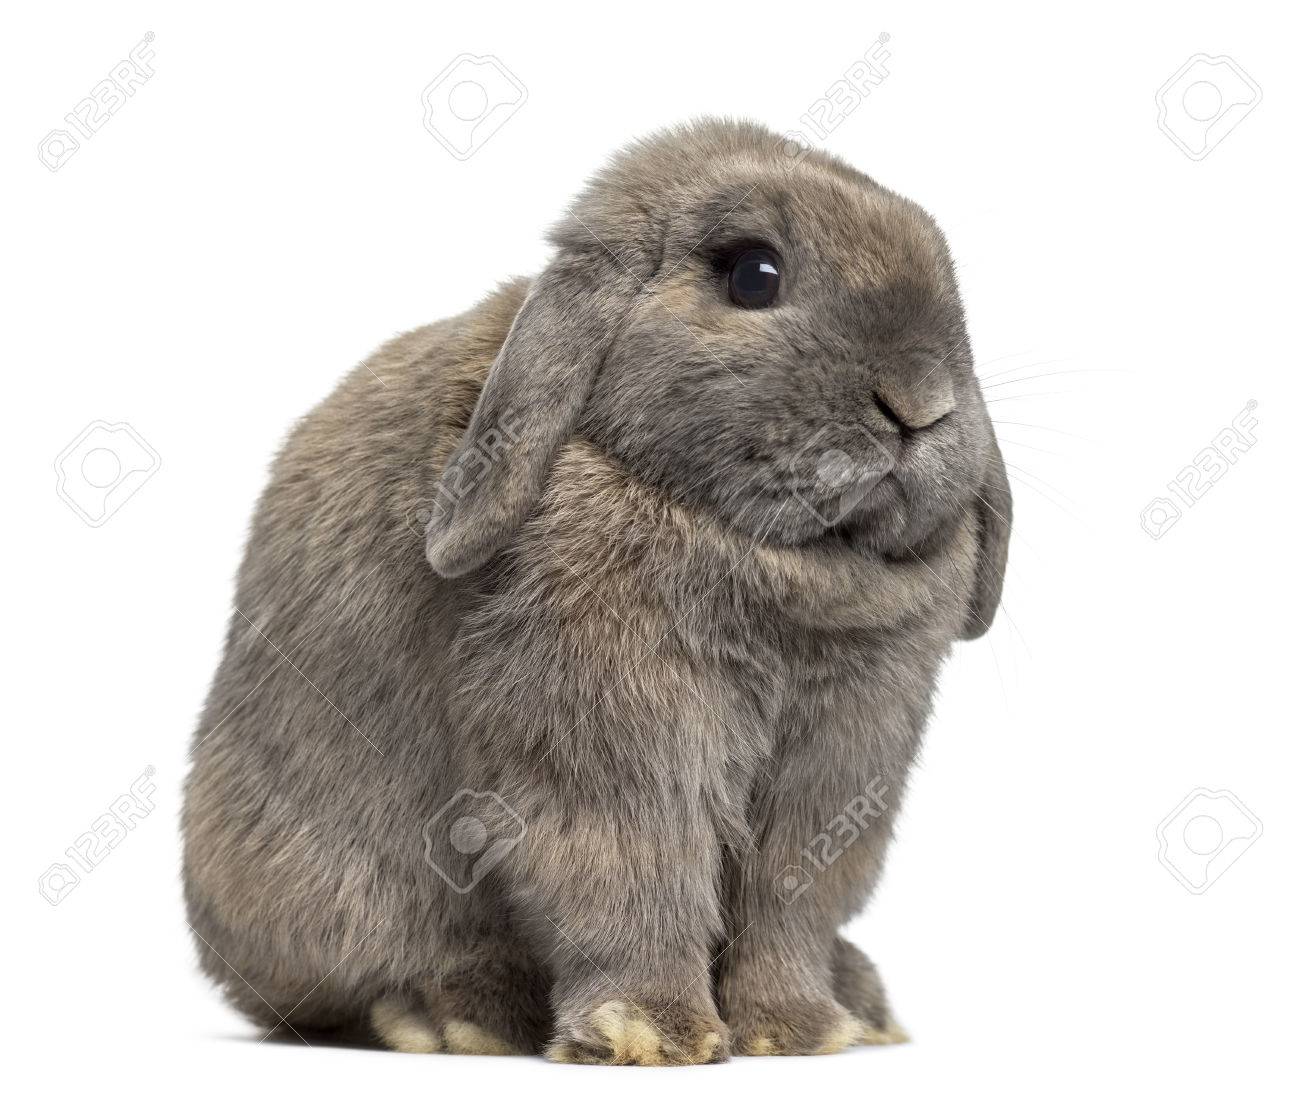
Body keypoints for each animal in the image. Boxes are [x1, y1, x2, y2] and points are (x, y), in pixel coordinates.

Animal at [183, 114, 1008, 1066]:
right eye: (753, 273)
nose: (921, 400)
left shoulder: (841, 768)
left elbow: (790, 900)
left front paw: (800, 1030)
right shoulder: (611, 735)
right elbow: (632, 870)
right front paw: (650, 1031)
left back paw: (861, 999)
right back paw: (454, 1014)